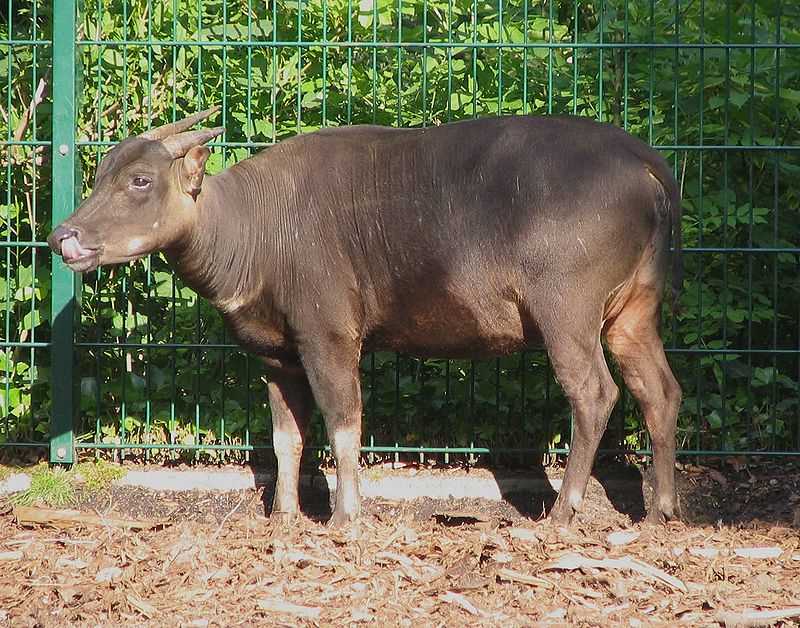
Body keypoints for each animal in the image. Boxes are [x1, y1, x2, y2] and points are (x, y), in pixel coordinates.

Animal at [50, 109, 684, 528]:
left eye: (140, 180)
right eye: (101, 172)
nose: (63, 237)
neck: (258, 230)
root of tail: (642, 160)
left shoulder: (330, 336)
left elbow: (342, 423)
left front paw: (347, 518)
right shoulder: (278, 355)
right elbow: (286, 436)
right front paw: (285, 518)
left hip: (567, 313)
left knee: (595, 393)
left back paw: (563, 514)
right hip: (633, 313)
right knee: (660, 391)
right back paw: (661, 510)